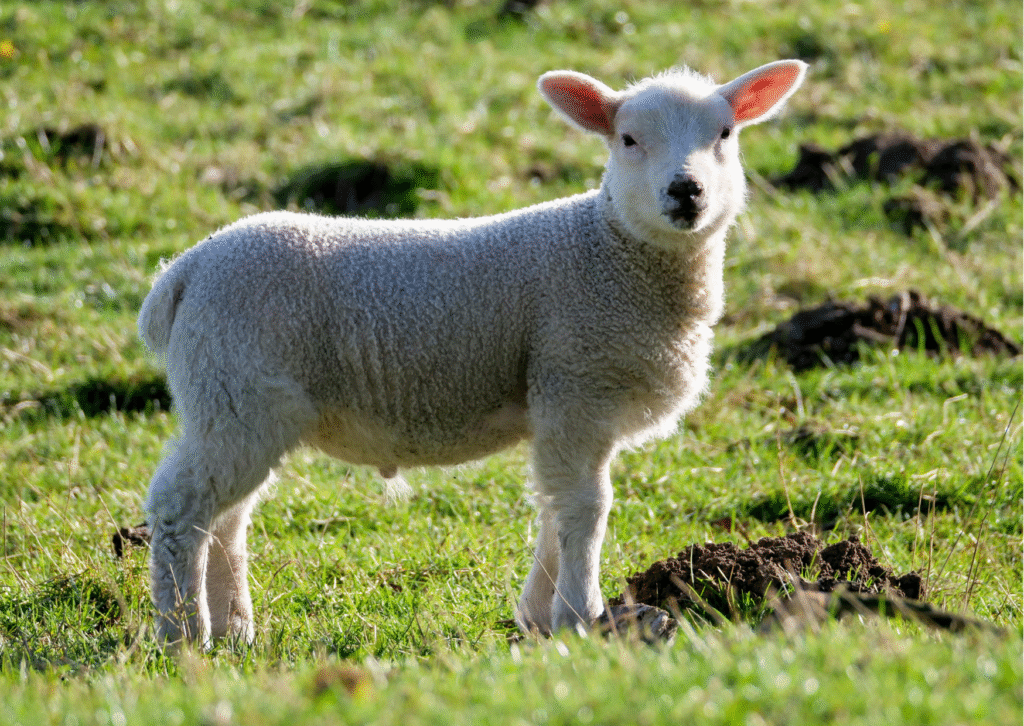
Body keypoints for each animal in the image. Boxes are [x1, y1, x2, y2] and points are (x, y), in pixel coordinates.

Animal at [138, 59, 808, 646]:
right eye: (628, 139)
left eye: (725, 134)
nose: (686, 191)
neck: (610, 251)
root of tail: (185, 271)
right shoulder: (576, 384)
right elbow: (586, 509)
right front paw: (582, 617)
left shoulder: (563, 405)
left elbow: (555, 508)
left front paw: (540, 616)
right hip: (235, 389)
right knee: (180, 508)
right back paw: (183, 634)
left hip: (238, 403)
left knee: (227, 516)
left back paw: (234, 628)